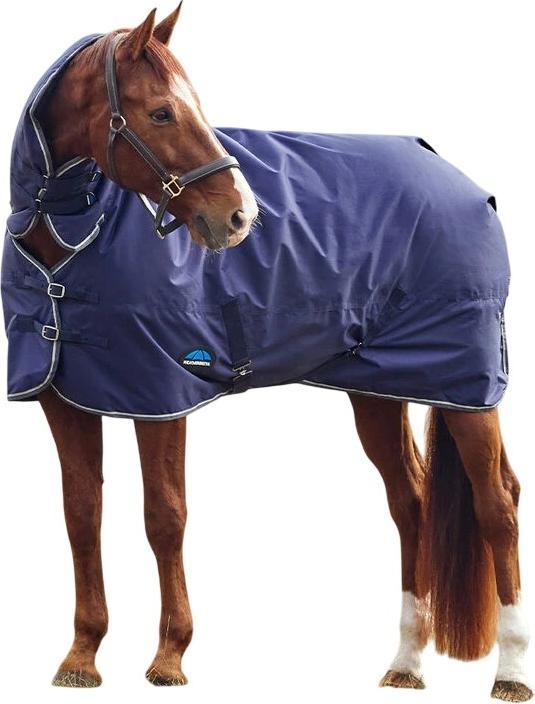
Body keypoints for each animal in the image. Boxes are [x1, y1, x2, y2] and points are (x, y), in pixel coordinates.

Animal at [1, 6, 531, 700]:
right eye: (162, 113)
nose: (239, 216)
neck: (71, 240)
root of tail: (464, 181)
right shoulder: (65, 401)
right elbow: (81, 516)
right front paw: (82, 656)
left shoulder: (163, 396)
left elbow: (164, 517)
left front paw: (169, 658)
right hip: (379, 391)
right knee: (411, 503)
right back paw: (406, 663)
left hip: (468, 387)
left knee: (498, 505)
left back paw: (511, 672)